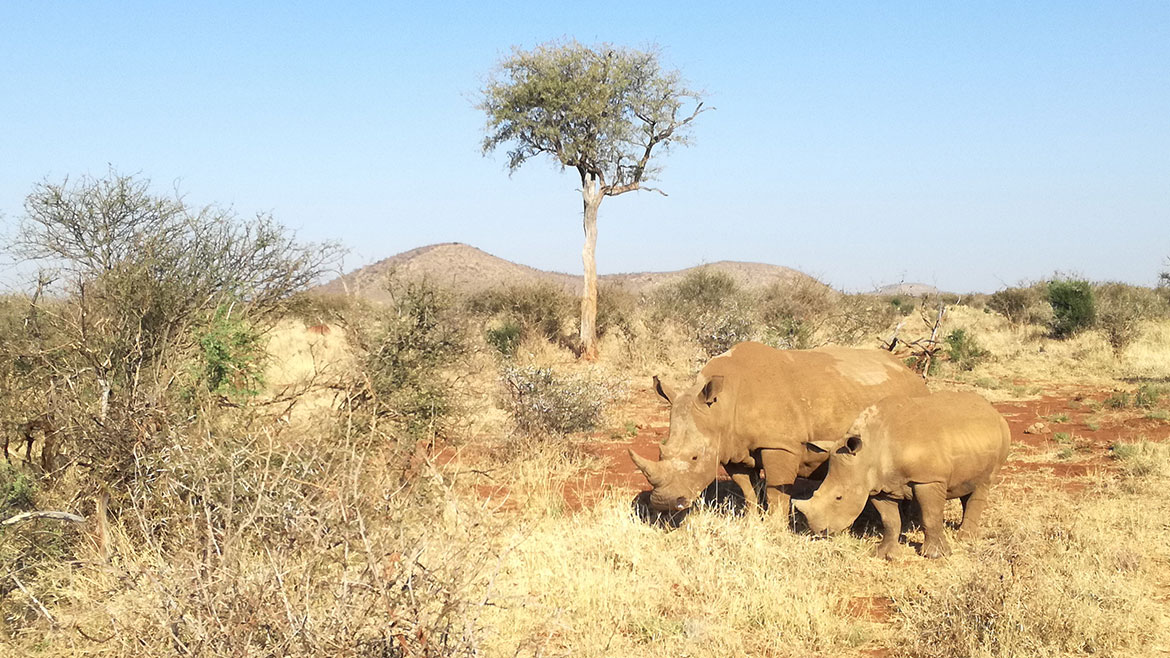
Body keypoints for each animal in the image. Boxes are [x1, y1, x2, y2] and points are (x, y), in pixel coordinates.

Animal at [629, 341, 928, 521]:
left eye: (694, 457)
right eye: (661, 451)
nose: (664, 503)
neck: (722, 408)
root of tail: (910, 372)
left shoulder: (780, 444)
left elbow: (776, 489)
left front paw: (774, 527)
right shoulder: (732, 447)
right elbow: (747, 487)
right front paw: (751, 522)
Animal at [792, 391, 1010, 559]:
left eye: (839, 497)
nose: (819, 532)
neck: (870, 449)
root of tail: (993, 410)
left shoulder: (928, 479)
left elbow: (930, 516)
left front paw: (935, 555)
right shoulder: (879, 485)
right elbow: (890, 521)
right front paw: (885, 554)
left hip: (1001, 437)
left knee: (983, 484)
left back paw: (965, 539)